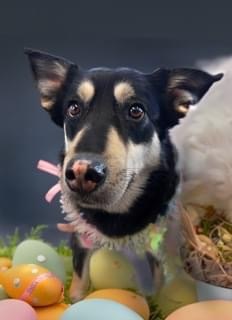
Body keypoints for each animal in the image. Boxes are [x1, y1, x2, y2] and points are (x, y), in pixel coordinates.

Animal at [24, 48, 222, 300]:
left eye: (136, 110)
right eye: (73, 108)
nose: (82, 172)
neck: (117, 213)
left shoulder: (156, 241)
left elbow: (158, 284)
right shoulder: (80, 235)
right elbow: (79, 283)